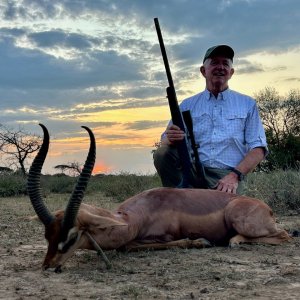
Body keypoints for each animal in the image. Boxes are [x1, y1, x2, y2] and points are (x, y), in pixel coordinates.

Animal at [28, 123, 290, 272]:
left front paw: (200, 242)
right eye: (47, 235)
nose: (48, 266)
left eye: (71, 236)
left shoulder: (162, 236)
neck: (135, 216)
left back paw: (234, 241)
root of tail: (266, 208)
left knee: (284, 235)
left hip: (241, 220)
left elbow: (130, 246)